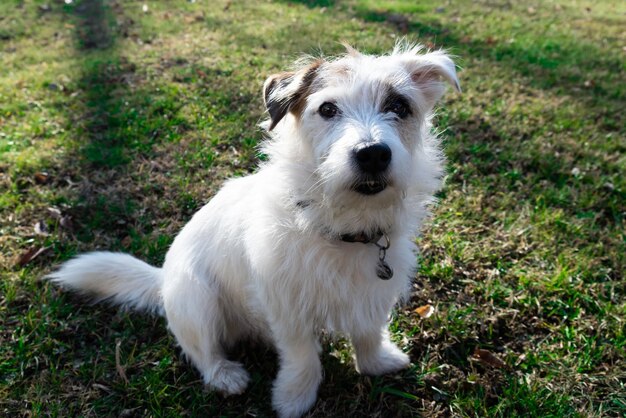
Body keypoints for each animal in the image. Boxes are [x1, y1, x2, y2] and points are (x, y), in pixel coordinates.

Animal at [46, 43, 458, 418]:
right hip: (196, 300)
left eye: (399, 106)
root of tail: (161, 279)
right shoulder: (286, 309)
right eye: (327, 109)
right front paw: (295, 399)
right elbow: (302, 357)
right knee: (201, 350)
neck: (343, 228)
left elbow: (368, 334)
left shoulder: (373, 294)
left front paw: (378, 363)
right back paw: (224, 375)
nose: (372, 153)